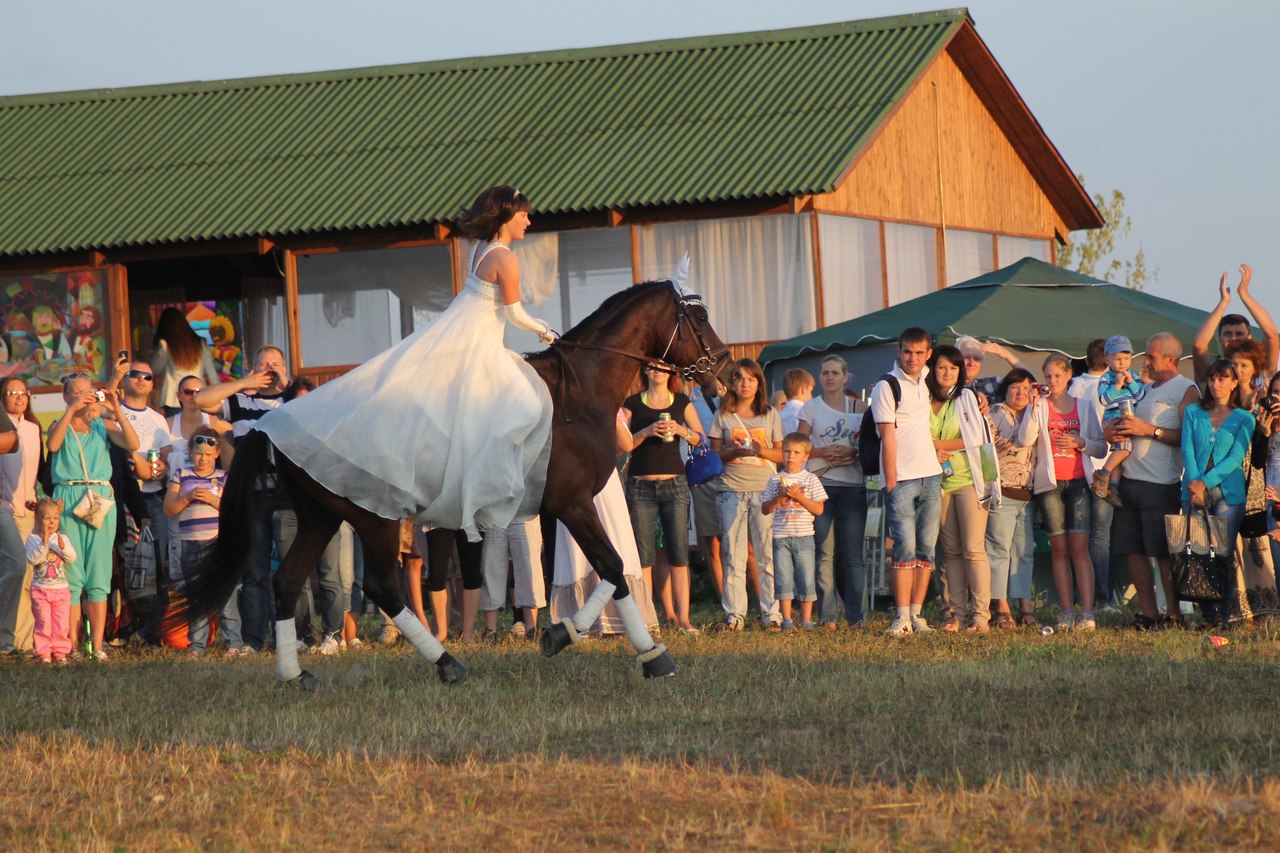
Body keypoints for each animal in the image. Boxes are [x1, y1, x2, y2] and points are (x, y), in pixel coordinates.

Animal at [171, 277, 732, 686]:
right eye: (701, 318)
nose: (723, 375)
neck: (580, 391)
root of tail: (275, 423)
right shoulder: (572, 504)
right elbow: (614, 566)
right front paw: (647, 654)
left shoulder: (563, 509)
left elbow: (610, 571)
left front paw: (570, 634)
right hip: (373, 517)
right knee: (382, 587)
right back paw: (447, 663)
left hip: (321, 518)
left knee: (287, 583)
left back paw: (295, 675)